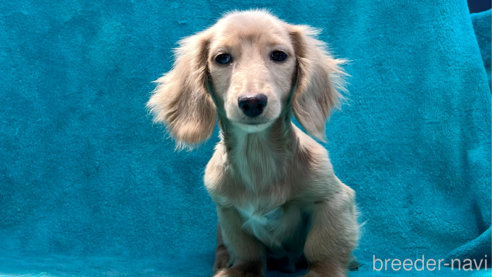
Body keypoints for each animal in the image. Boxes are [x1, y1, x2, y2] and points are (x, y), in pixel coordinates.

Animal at [148, 9, 360, 276]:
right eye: (222, 58)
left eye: (279, 55)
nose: (252, 102)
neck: (258, 157)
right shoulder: (227, 212)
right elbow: (246, 252)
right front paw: (239, 270)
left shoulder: (333, 199)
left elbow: (322, 245)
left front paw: (324, 270)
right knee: (222, 246)